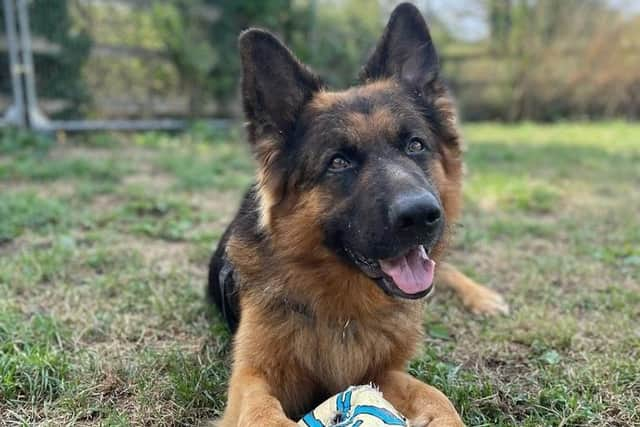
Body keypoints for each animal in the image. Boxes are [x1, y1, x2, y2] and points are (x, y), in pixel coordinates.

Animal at [208, 2, 508, 424]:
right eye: (338, 162)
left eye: (415, 145)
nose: (421, 215)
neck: (343, 309)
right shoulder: (251, 377)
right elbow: (262, 413)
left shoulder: (383, 371)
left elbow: (437, 398)